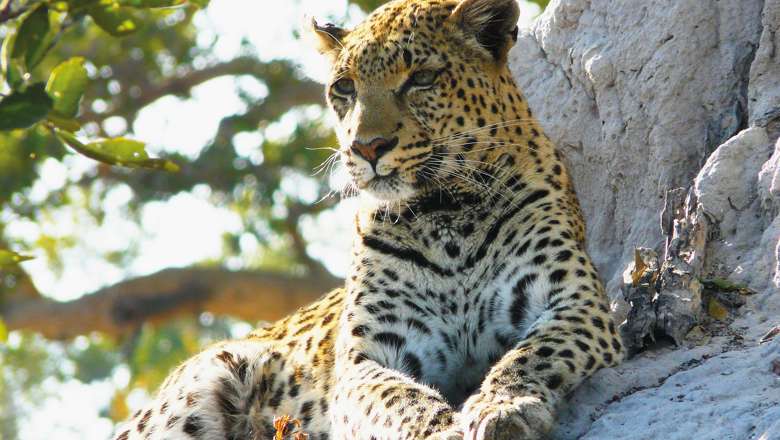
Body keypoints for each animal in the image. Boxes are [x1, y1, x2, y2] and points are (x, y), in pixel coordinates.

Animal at [112, 0, 624, 438]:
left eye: (421, 78)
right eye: (344, 88)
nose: (367, 147)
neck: (445, 214)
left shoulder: (575, 303)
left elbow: (532, 355)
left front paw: (503, 406)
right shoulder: (366, 356)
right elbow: (398, 398)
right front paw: (444, 430)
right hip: (199, 386)